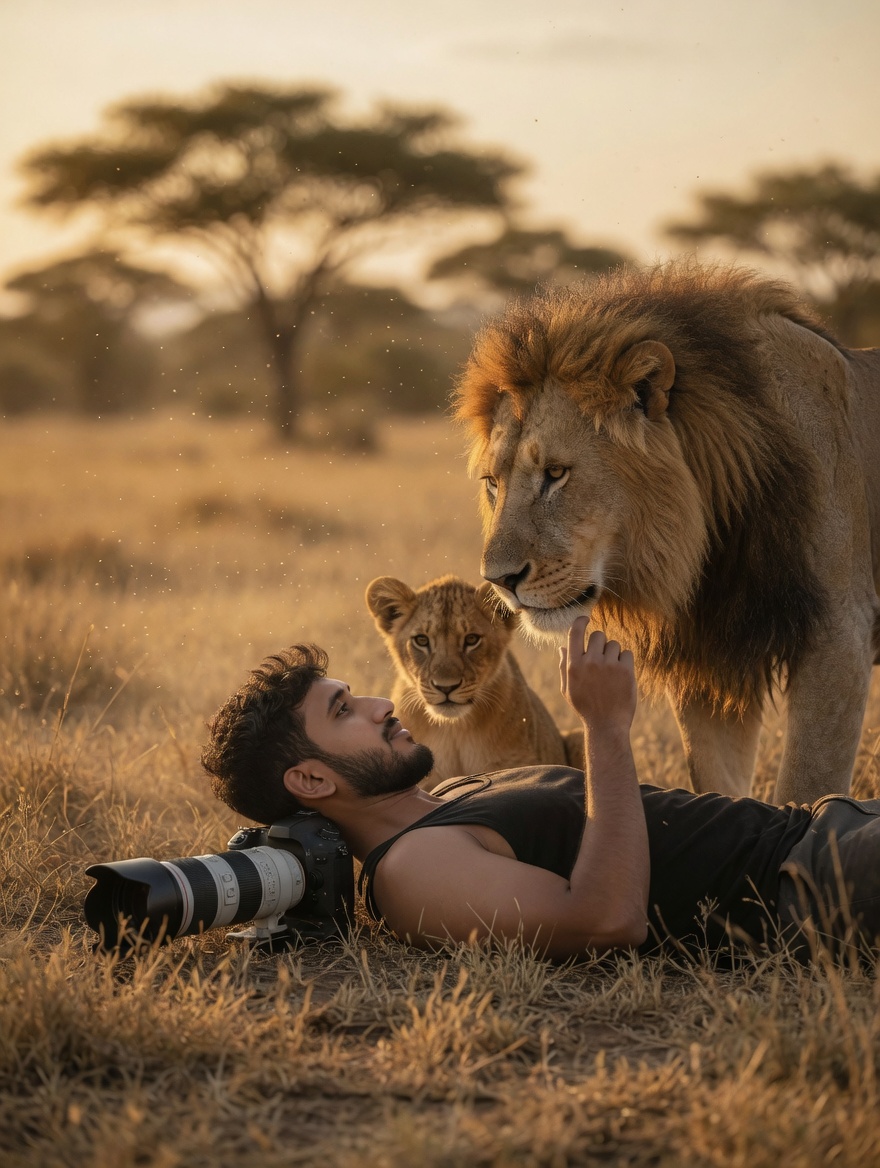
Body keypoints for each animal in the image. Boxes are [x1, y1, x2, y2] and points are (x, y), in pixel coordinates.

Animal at [453, 260, 880, 804]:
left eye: (555, 473)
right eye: (493, 483)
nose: (498, 581)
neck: (712, 544)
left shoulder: (840, 637)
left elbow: (806, 785)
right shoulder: (710, 657)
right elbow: (718, 782)